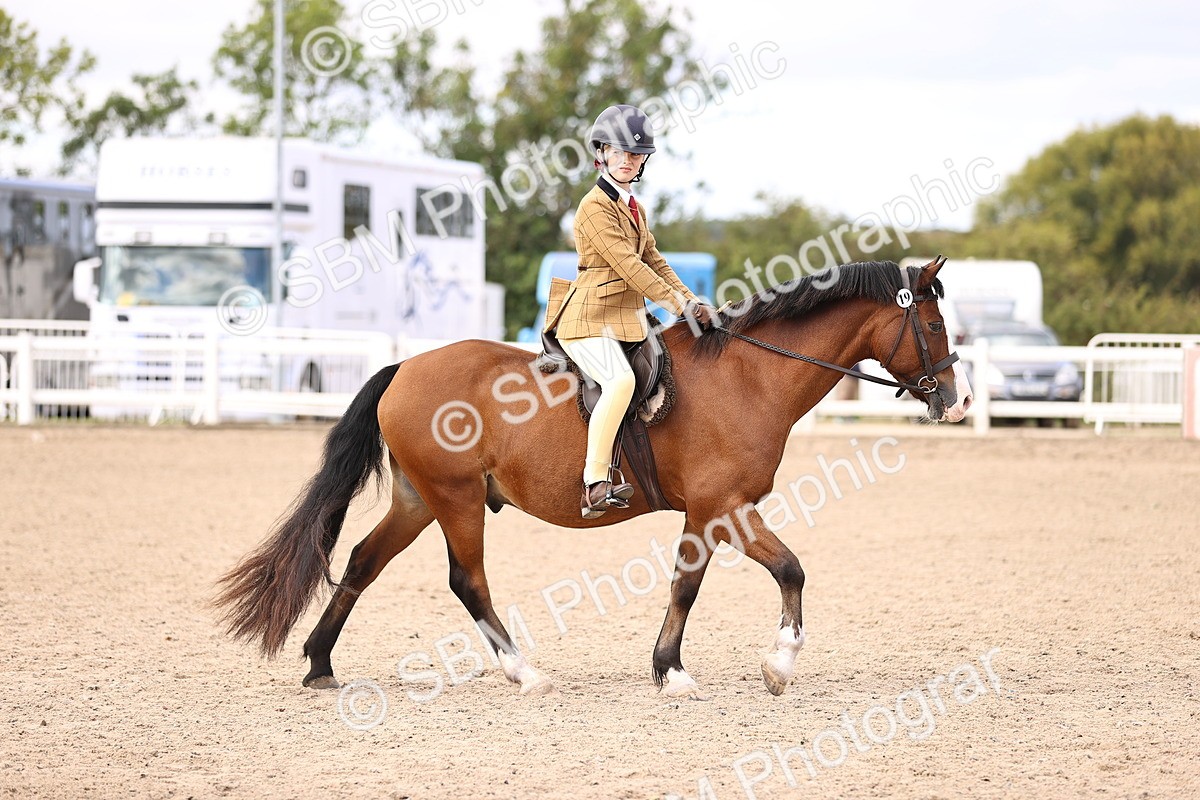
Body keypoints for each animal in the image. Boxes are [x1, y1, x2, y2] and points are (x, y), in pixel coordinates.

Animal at [214, 257, 972, 699]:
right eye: (935, 325)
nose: (960, 401)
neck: (750, 374)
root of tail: (405, 367)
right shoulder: (722, 507)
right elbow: (781, 571)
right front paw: (768, 665)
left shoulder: (710, 513)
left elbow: (699, 583)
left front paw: (674, 666)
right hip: (455, 500)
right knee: (466, 581)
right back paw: (522, 671)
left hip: (417, 499)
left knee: (363, 562)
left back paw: (320, 663)